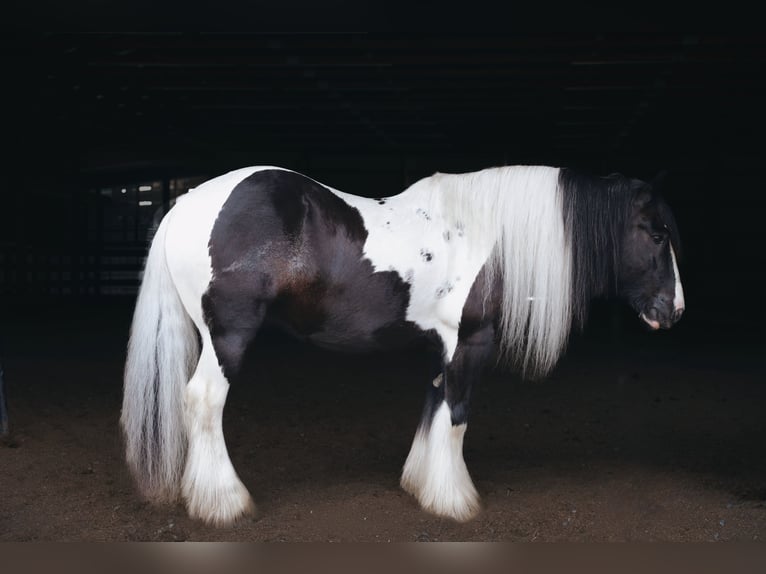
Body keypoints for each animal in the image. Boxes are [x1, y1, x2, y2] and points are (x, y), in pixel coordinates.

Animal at [120, 164, 685, 526]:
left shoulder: (443, 346)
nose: (674, 310)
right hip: (229, 336)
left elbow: (433, 406)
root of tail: (186, 202)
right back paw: (224, 503)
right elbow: (456, 416)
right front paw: (456, 501)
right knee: (203, 402)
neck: (485, 234)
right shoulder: (471, 343)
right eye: (656, 234)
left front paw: (421, 485)